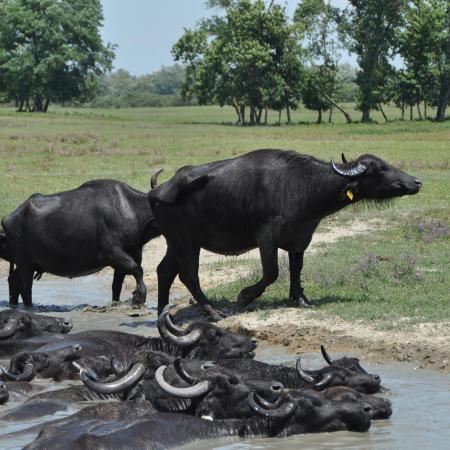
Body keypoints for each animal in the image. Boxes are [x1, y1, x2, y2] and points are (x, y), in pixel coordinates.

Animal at [0, 178, 160, 306]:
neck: (132, 210)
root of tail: (8, 218)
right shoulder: (112, 254)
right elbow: (137, 269)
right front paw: (139, 296)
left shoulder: (127, 258)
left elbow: (117, 285)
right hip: (24, 262)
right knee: (26, 286)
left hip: (29, 263)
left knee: (14, 281)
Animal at [149, 149, 420, 318]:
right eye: (379, 169)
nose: (416, 182)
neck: (305, 186)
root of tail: (158, 191)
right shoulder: (266, 239)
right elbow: (272, 273)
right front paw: (244, 296)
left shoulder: (300, 239)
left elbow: (296, 269)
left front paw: (300, 299)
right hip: (186, 242)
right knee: (188, 275)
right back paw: (213, 311)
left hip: (176, 243)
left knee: (164, 271)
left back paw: (163, 312)